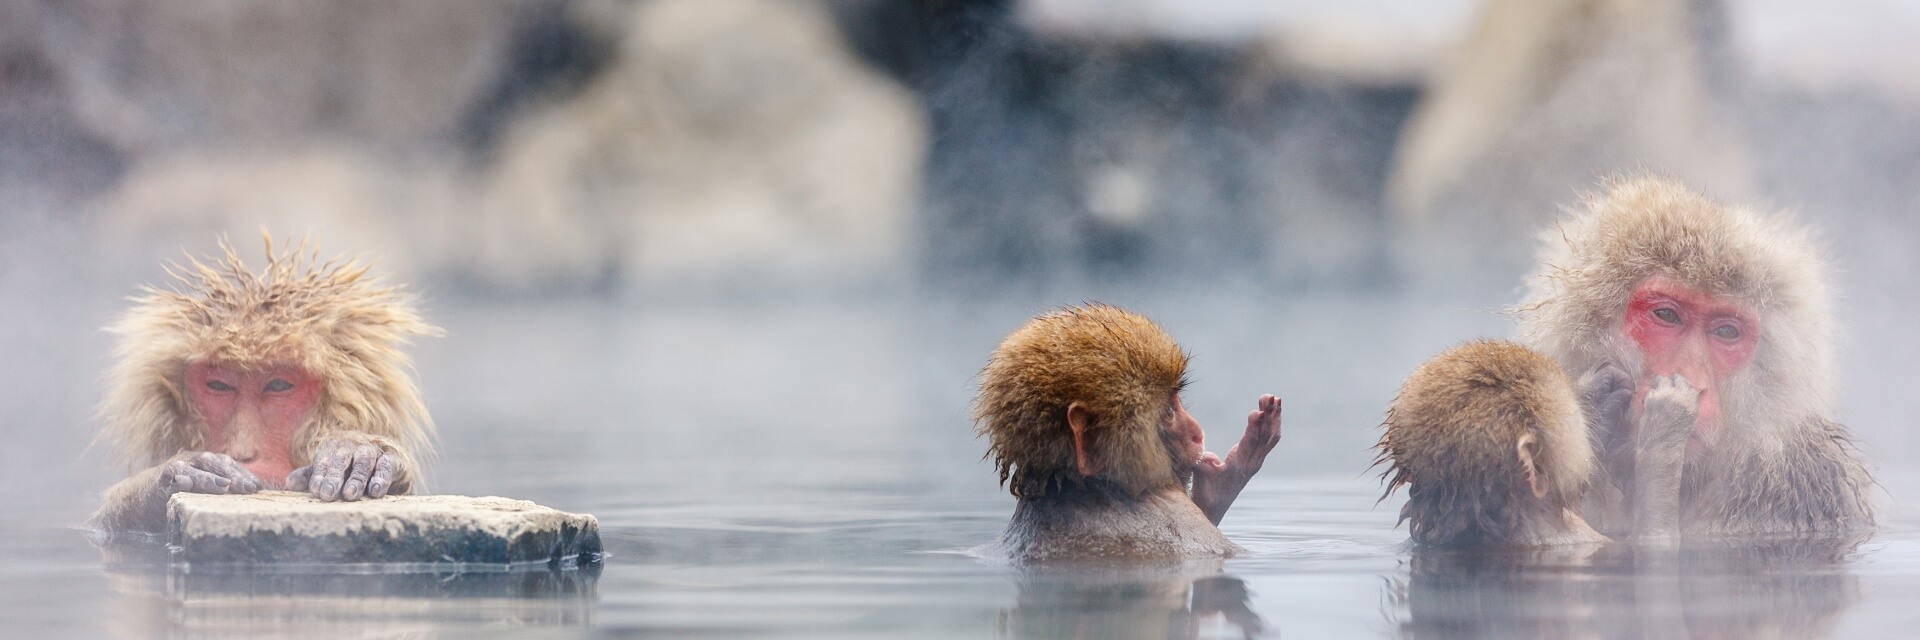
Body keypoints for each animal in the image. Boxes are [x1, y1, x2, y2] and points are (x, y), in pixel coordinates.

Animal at [1515, 176, 1874, 540]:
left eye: (1727, 332)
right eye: (1666, 315)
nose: (1693, 382)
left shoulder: (1805, 482)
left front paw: (1663, 438)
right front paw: (1591, 407)